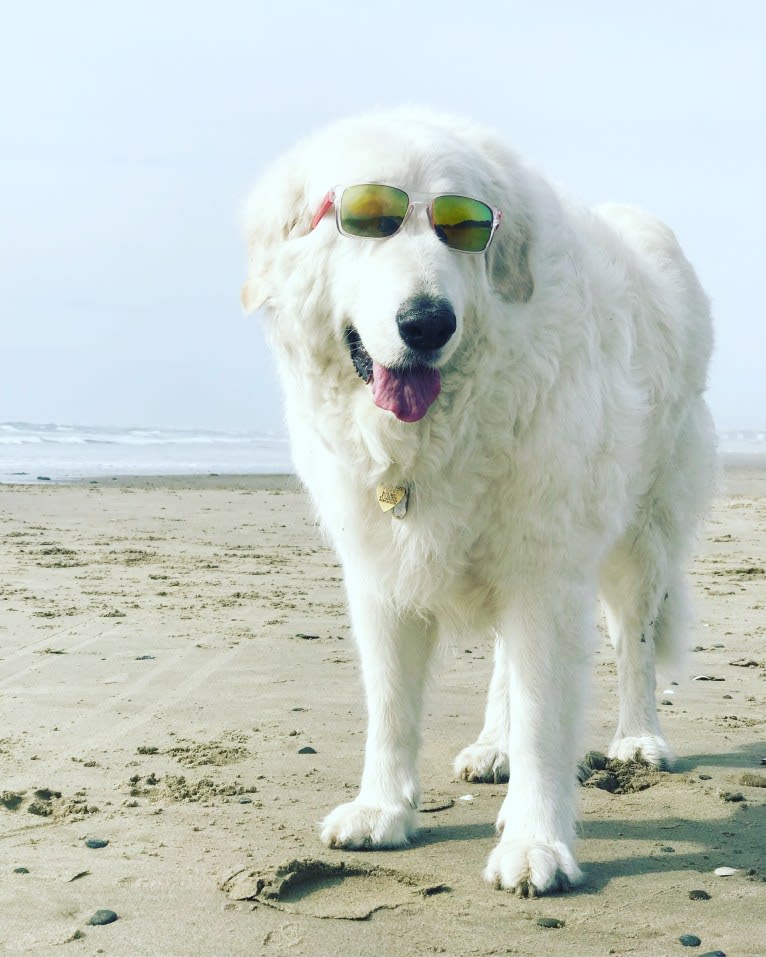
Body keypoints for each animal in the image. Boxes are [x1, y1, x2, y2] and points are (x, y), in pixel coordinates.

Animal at [242, 110, 720, 896]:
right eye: (365, 220)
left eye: (463, 228)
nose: (427, 322)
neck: (435, 432)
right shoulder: (380, 568)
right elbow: (391, 705)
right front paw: (382, 809)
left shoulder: (549, 570)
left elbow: (545, 717)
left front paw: (535, 843)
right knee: (504, 662)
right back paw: (494, 745)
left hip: (640, 539)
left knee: (634, 644)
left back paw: (638, 738)